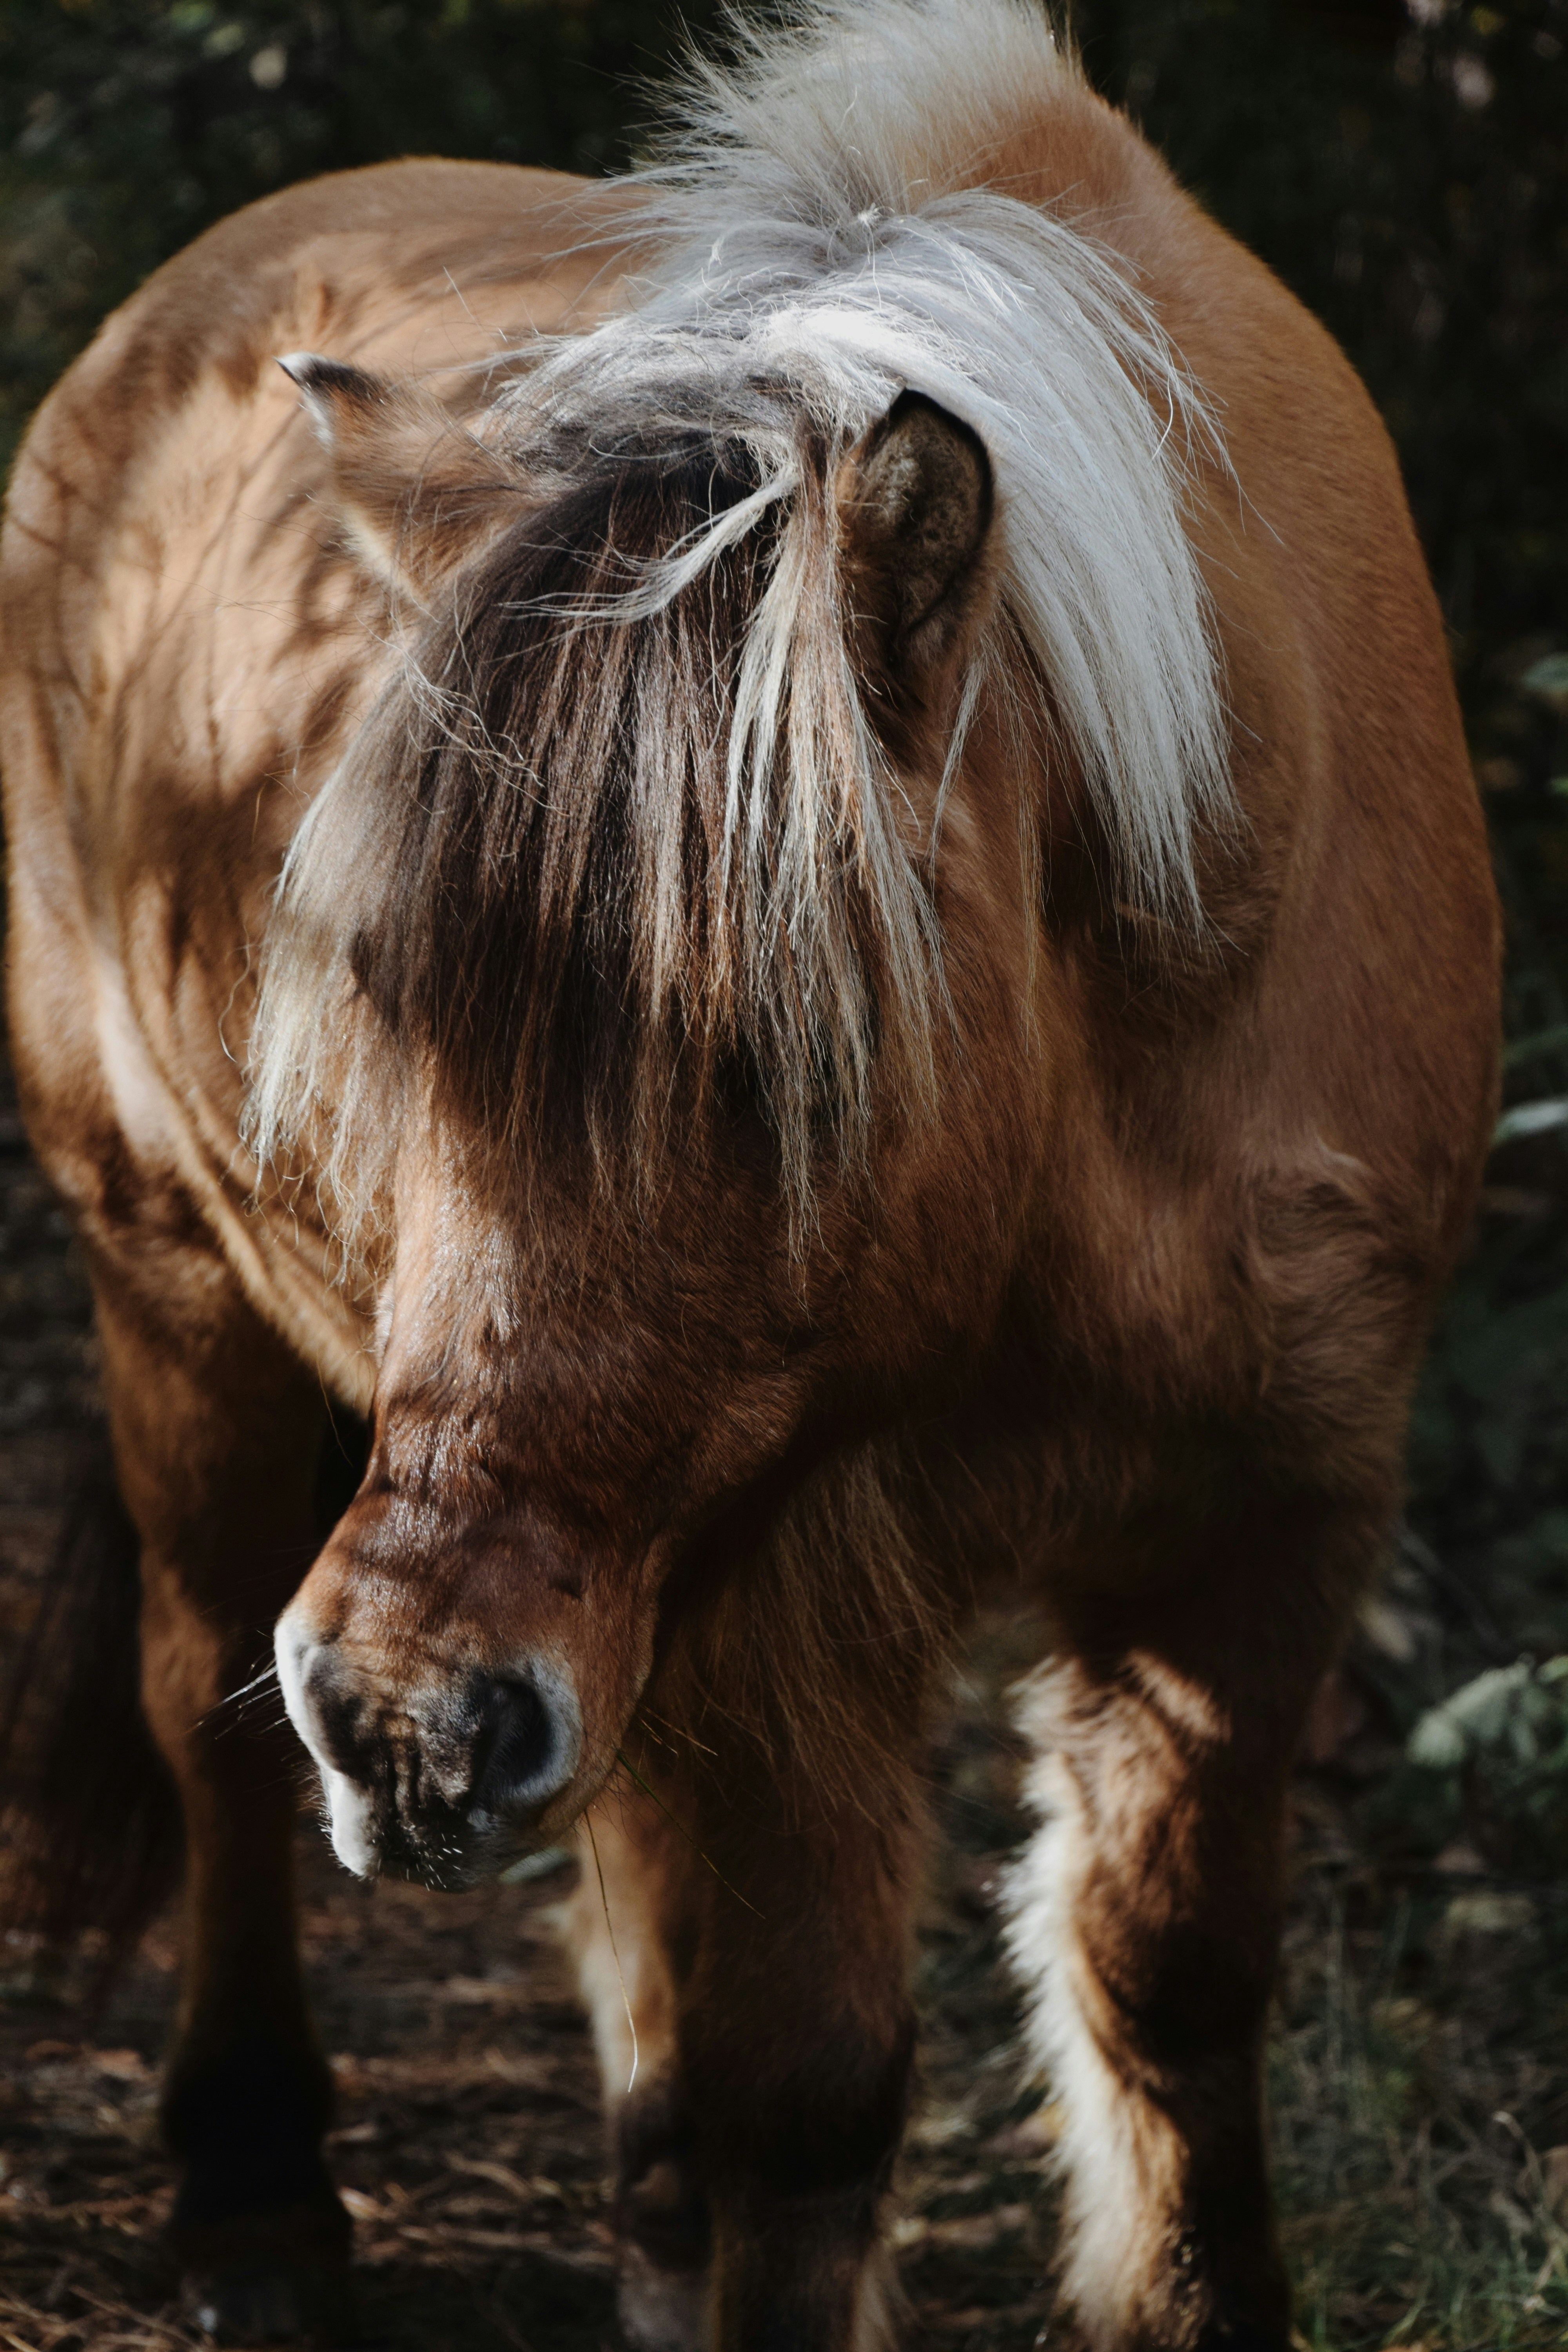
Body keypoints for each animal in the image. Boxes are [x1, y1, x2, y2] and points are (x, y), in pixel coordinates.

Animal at [0, 2, 1500, 2346]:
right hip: (182, 1306)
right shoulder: (798, 1598)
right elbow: (812, 2092)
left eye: (776, 1044)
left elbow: (1166, 1979)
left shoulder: (1266, 1519)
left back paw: (638, 2211)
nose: (403, 1719)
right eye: (380, 1005)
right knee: (207, 1721)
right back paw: (257, 2198)